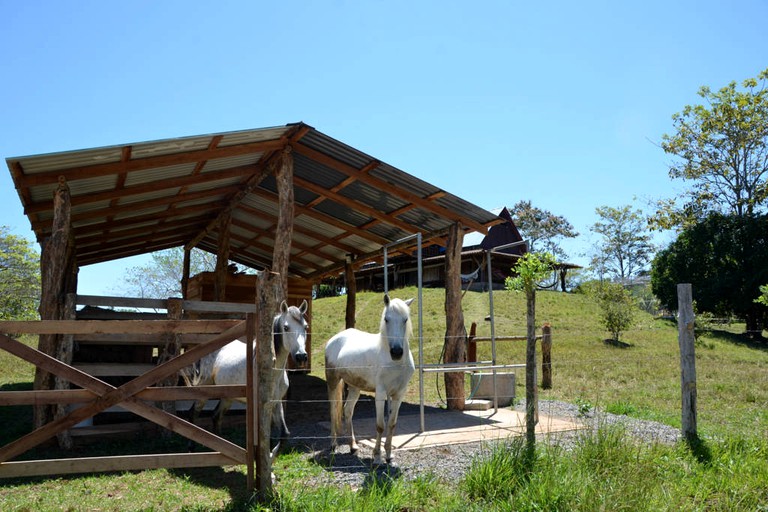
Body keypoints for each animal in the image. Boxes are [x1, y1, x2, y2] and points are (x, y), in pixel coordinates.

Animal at [189, 300, 308, 448]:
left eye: (306, 327)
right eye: (286, 327)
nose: (301, 356)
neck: (272, 373)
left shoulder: (276, 401)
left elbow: (284, 434)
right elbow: (262, 436)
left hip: (228, 396)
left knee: (216, 416)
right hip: (204, 391)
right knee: (194, 414)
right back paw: (192, 448)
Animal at [324, 294, 414, 466]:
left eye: (405, 319)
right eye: (386, 319)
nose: (397, 352)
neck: (394, 363)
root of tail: (334, 339)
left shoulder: (399, 394)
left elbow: (391, 424)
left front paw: (389, 456)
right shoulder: (381, 393)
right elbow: (380, 425)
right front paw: (377, 457)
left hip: (354, 387)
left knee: (347, 411)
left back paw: (353, 446)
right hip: (333, 381)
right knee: (333, 410)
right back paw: (333, 444)